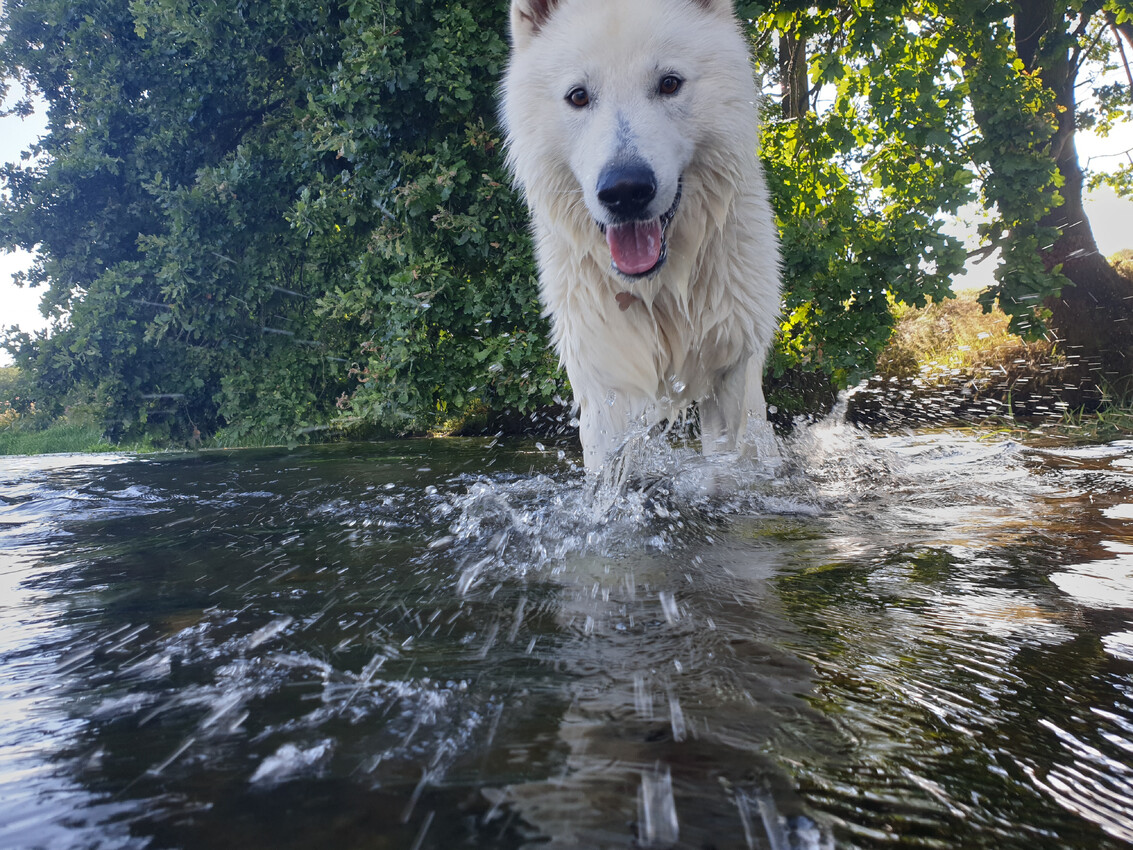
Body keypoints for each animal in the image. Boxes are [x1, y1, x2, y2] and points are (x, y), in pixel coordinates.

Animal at [503, 0, 779, 473]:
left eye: (669, 84)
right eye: (578, 96)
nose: (625, 191)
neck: (660, 290)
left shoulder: (731, 374)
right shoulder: (606, 389)